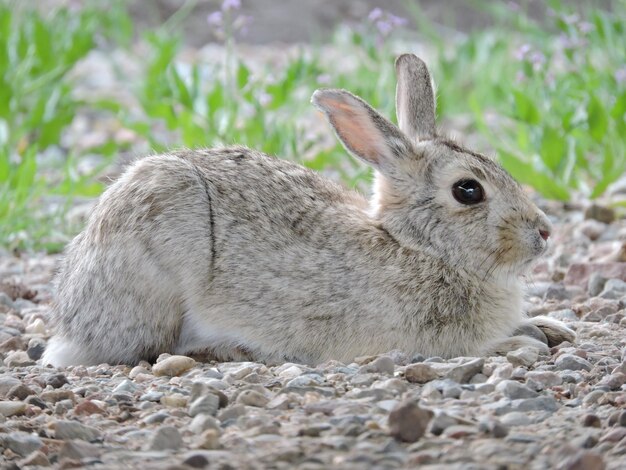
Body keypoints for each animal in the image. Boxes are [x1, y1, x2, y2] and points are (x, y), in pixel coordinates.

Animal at [41, 52, 572, 368]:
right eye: (468, 191)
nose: (545, 232)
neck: (417, 245)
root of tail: (69, 320)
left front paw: (551, 326)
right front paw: (520, 343)